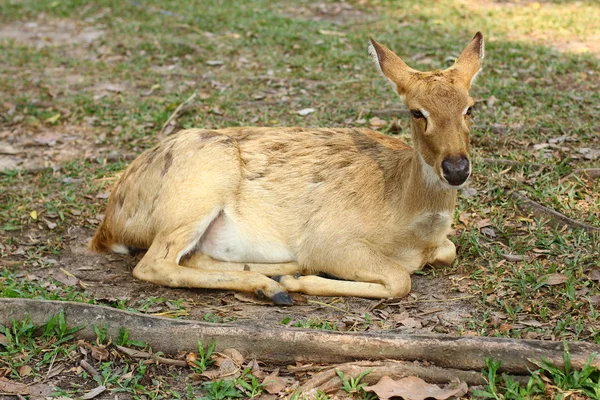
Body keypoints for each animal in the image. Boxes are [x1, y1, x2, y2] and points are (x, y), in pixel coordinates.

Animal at [88, 32, 482, 304]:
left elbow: (448, 251)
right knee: (154, 263)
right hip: (199, 186)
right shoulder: (330, 239)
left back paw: (280, 275)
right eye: (417, 111)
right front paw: (302, 282)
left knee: (191, 257)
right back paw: (275, 286)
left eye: (470, 107)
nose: (456, 168)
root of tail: (109, 226)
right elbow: (401, 279)